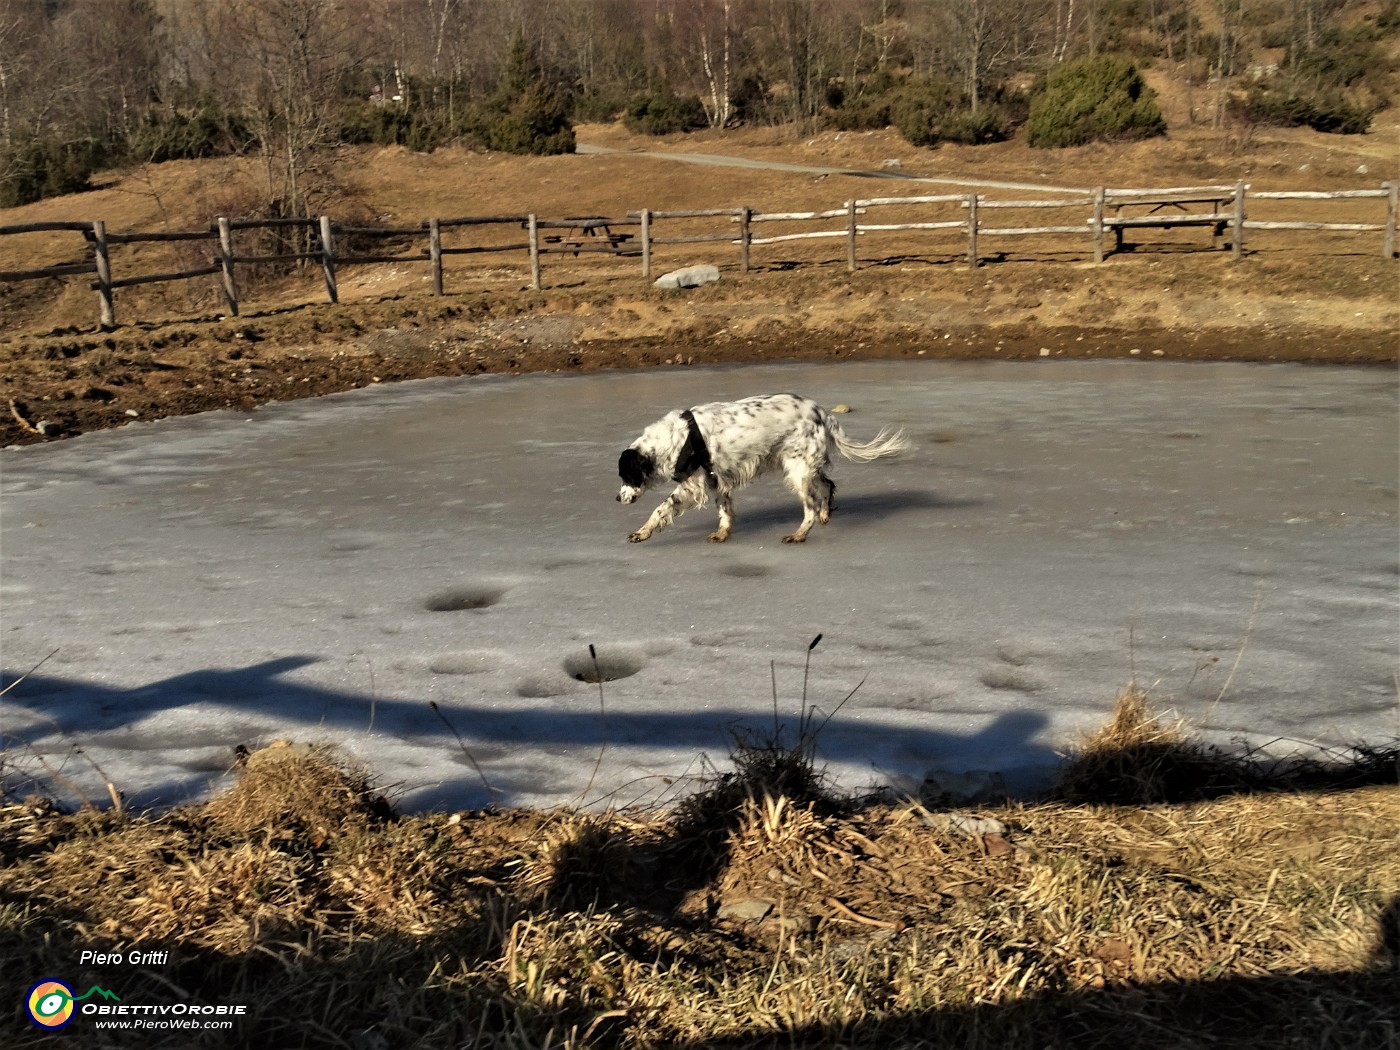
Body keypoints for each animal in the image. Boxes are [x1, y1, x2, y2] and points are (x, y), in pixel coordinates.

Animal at [618, 392, 912, 546]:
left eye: (625, 475)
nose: (617, 498)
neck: (672, 440)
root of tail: (821, 412)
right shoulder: (717, 480)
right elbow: (725, 511)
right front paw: (723, 532)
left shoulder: (693, 484)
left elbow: (661, 508)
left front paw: (641, 532)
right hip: (802, 467)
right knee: (827, 485)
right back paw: (826, 514)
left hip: (797, 471)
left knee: (810, 508)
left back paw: (799, 534)